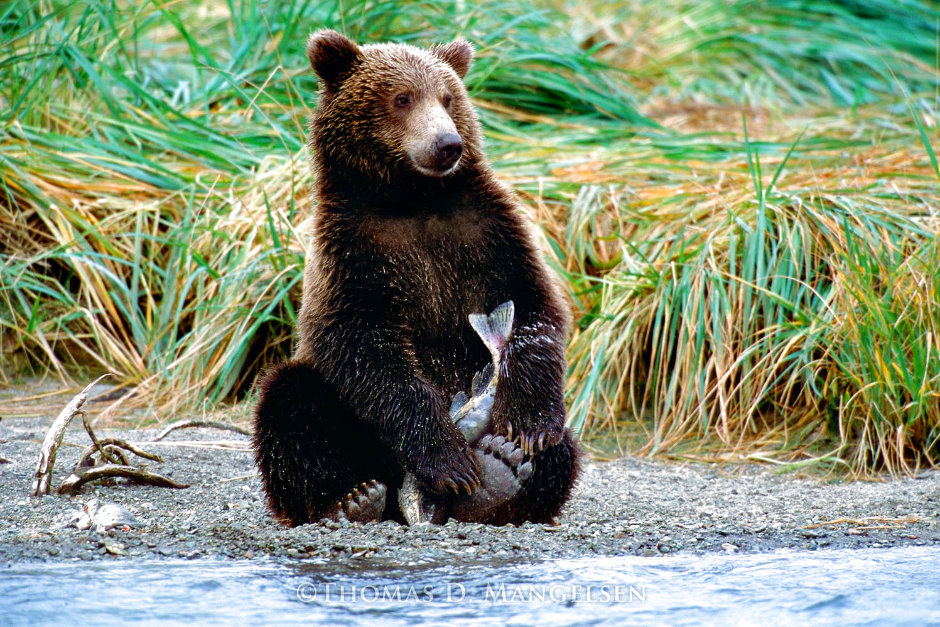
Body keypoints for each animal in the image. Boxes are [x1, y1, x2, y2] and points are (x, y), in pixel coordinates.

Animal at [253, 30, 584, 528]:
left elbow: (533, 303)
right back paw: (352, 498)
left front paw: (528, 424)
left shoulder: (487, 229)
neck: (413, 198)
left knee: (565, 450)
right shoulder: (352, 251)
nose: (448, 144)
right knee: (290, 403)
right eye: (402, 98)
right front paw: (449, 459)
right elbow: (365, 347)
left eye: (448, 96)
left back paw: (502, 478)